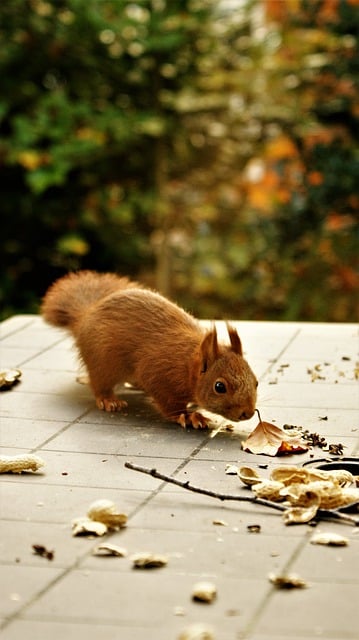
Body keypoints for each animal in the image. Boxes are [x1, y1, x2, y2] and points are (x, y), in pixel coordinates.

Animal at [40, 268, 258, 428]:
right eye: (219, 387)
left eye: (256, 382)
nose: (248, 413)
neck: (187, 363)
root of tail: (85, 316)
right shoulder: (159, 373)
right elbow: (168, 403)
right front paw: (189, 416)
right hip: (101, 362)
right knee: (99, 383)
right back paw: (109, 399)